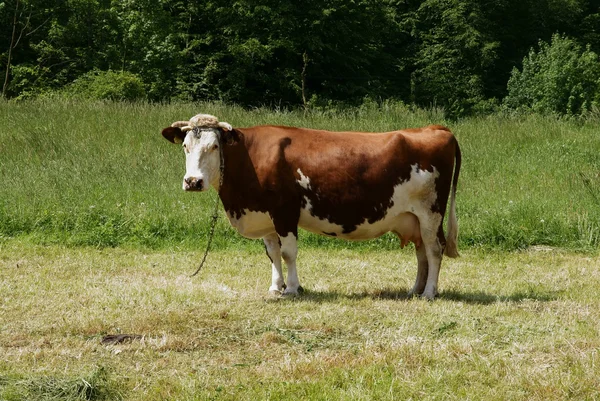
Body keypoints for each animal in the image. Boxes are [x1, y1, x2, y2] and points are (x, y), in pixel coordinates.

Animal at [162, 112, 462, 296]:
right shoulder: (266, 216)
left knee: (434, 249)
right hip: (415, 217)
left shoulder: (285, 212)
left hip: (431, 212)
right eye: (186, 146)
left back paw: (429, 292)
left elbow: (288, 253)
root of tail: (435, 128)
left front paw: (292, 289)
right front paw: (276, 287)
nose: (193, 181)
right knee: (421, 252)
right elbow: (272, 254)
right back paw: (415, 290)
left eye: (214, 146)